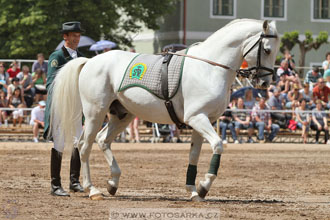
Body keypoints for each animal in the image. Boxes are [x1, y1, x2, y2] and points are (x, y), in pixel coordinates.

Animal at [50, 19, 280, 201]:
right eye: (267, 50)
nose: (265, 83)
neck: (209, 68)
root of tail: (89, 61)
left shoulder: (202, 122)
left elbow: (194, 156)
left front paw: (193, 191)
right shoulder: (198, 118)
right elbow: (218, 145)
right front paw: (204, 186)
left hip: (122, 115)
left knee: (102, 140)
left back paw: (112, 183)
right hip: (94, 113)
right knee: (84, 146)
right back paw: (92, 190)